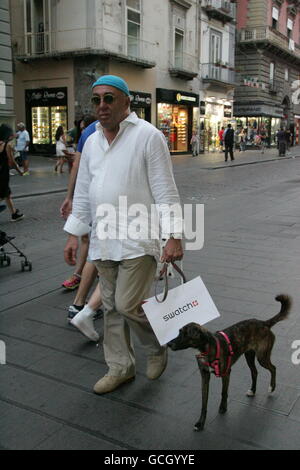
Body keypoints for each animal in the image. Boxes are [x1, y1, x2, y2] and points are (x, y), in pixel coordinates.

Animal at [168, 296, 292, 432]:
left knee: (273, 368)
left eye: (186, 335)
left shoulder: (226, 373)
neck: (206, 347)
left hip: (262, 357)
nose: (169, 344)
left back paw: (271, 387)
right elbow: (204, 402)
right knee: (255, 372)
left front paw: (223, 408)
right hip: (249, 356)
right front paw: (200, 423)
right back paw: (252, 391)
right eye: (179, 332)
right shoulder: (205, 376)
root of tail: (263, 323)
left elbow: (224, 392)